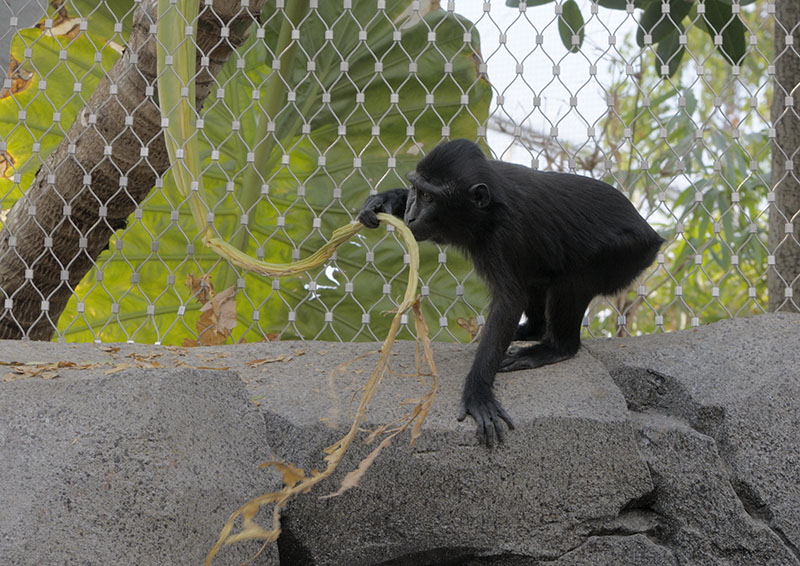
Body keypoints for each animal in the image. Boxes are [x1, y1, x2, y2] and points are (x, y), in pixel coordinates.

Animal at [357, 139, 663, 445]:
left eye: (430, 198)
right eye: (417, 191)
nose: (410, 216)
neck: (488, 210)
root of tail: (653, 236)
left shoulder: (506, 236)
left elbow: (509, 301)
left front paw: (478, 391)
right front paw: (385, 200)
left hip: (626, 253)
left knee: (573, 277)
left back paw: (555, 348)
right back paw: (533, 330)